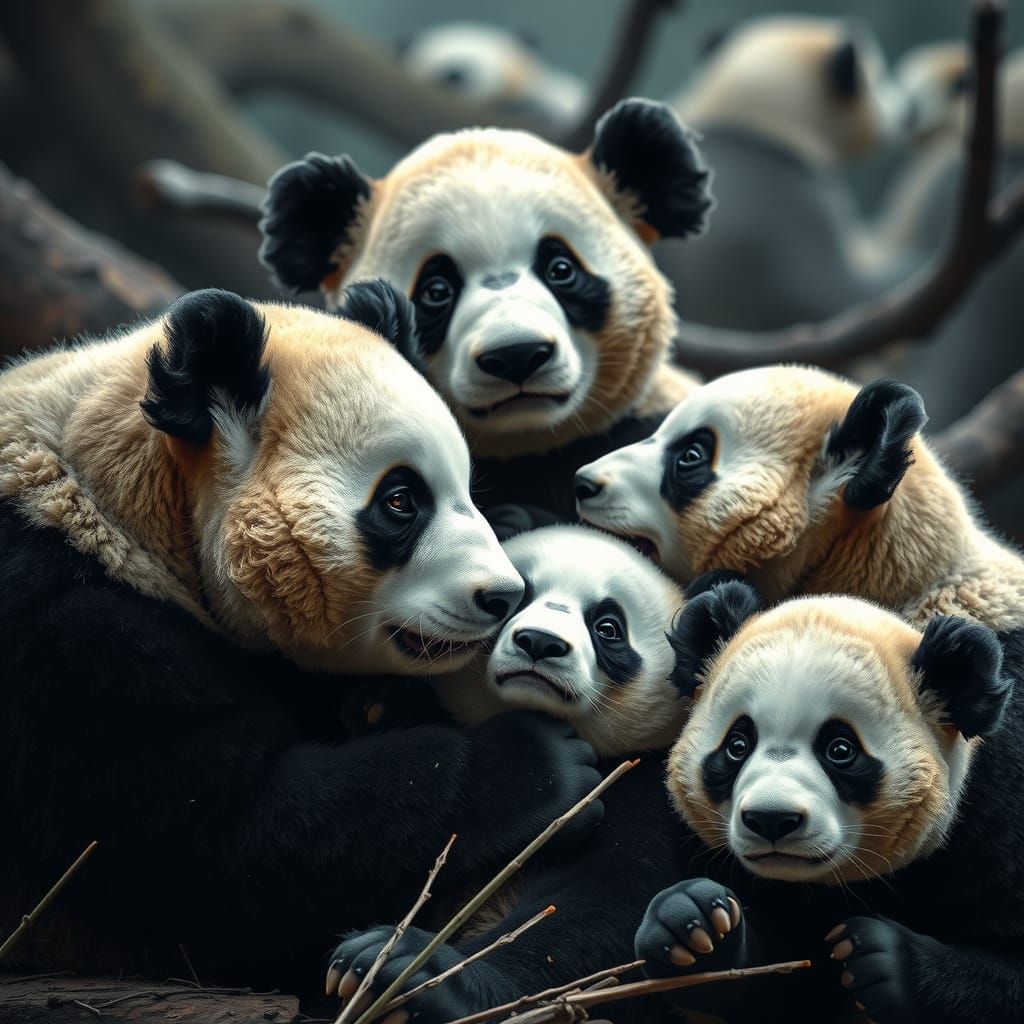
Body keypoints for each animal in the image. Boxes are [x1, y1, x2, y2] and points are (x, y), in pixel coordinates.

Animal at [0, 283, 606, 988]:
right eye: (401, 500)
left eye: (466, 488)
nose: (502, 595)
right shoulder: (68, 631)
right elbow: (209, 852)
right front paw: (544, 766)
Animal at [324, 526, 732, 1024]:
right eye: (518, 599)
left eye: (608, 627)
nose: (539, 642)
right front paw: (379, 706)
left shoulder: (644, 784)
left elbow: (598, 907)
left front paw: (416, 970)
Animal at [636, 581, 1023, 1024]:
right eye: (737, 745)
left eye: (840, 749)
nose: (771, 819)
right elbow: (781, 983)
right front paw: (693, 927)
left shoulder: (994, 824)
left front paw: (881, 960)